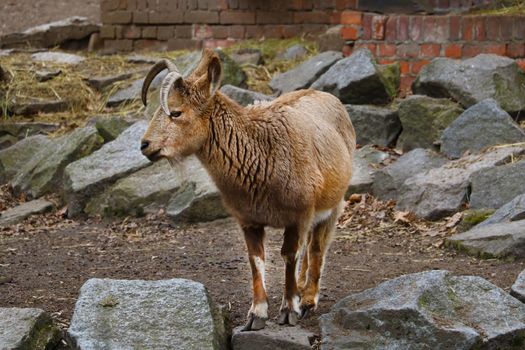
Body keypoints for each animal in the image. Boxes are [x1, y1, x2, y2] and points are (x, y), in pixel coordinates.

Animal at [140, 49, 356, 330]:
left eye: (175, 112)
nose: (145, 145)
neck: (261, 152)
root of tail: (330, 98)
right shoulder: (248, 219)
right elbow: (256, 260)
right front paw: (257, 314)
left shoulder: (298, 215)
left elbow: (289, 254)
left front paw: (288, 310)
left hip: (333, 204)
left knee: (317, 246)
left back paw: (308, 299)